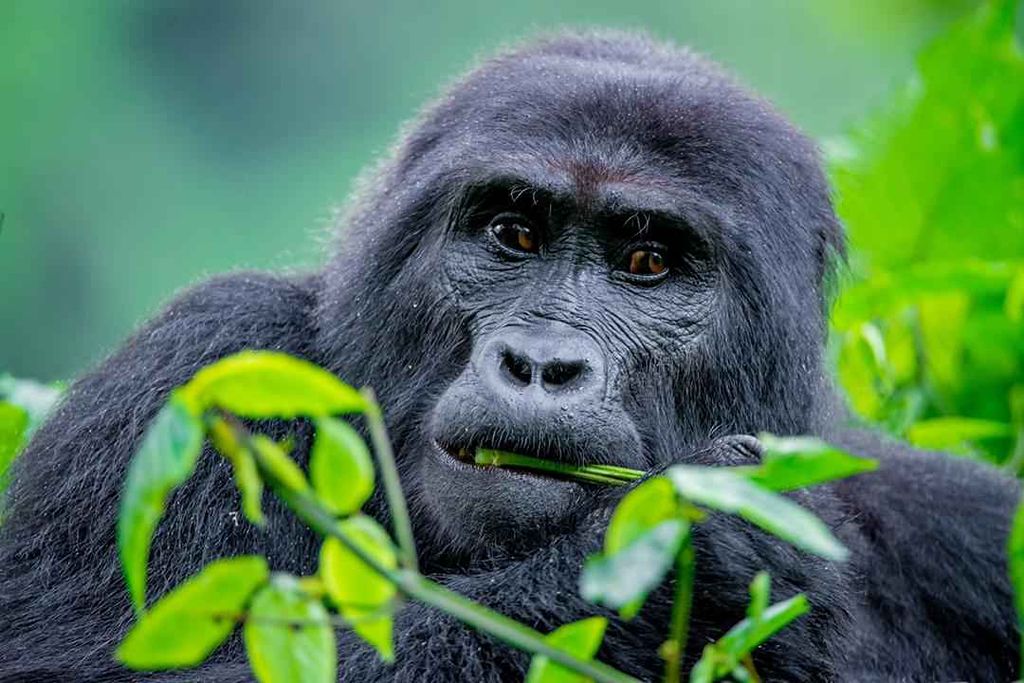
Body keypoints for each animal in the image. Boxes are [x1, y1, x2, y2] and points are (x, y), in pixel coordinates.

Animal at [0, 29, 1019, 679]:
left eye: (648, 263)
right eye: (513, 234)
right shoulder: (192, 369)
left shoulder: (969, 527)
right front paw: (676, 572)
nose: (540, 363)